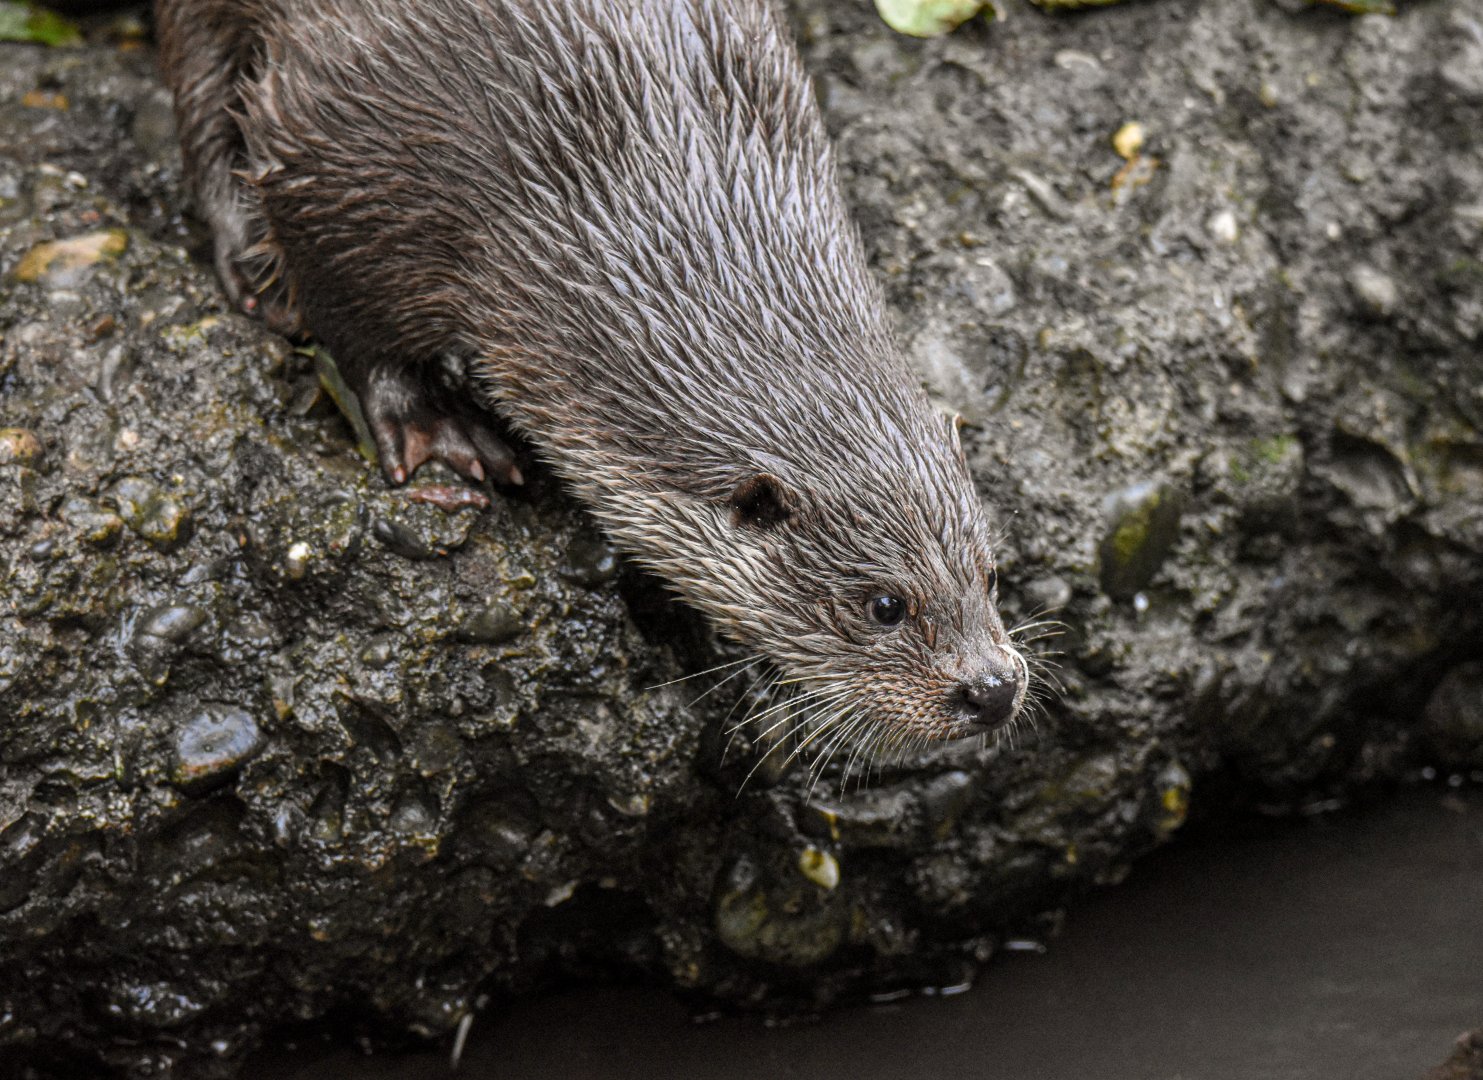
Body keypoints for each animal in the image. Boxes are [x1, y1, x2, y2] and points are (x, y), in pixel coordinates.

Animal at [154, 0, 1029, 764]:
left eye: (990, 572)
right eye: (884, 605)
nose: (991, 689)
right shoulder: (341, 137)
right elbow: (346, 302)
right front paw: (433, 428)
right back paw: (246, 255)